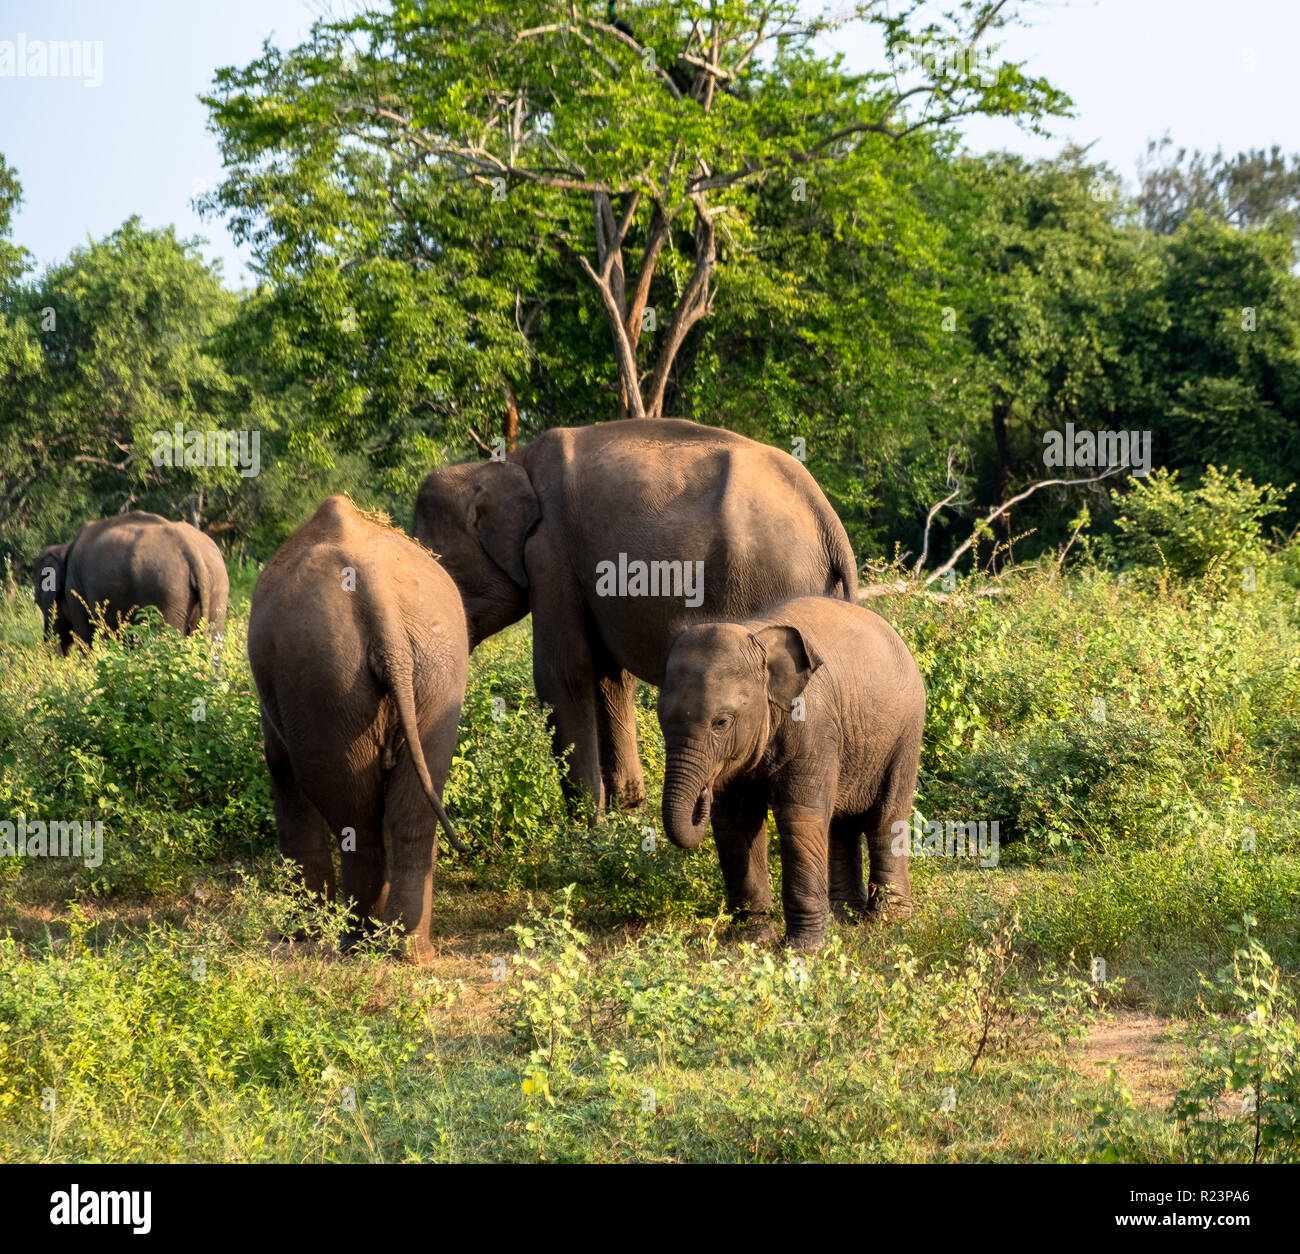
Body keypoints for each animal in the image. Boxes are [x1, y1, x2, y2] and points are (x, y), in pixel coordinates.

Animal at [33, 512, 229, 653]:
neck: (65, 549)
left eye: (38, 602)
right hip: (217, 590)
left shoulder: (75, 587)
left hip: (168, 594)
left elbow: (87, 639)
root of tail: (191, 549)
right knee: (213, 643)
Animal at [247, 495, 469, 962]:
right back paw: (406, 951)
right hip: (436, 668)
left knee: (353, 814)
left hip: (325, 676)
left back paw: (356, 942)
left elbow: (280, 768)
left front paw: (301, 933)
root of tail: (379, 600)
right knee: (411, 808)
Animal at [413, 418, 858, 811]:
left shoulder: (550, 551)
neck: (509, 462)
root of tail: (828, 520)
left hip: (770, 581)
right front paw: (625, 813)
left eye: (438, 565)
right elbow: (610, 678)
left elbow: (562, 674)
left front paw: (586, 830)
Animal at [658, 594, 926, 951]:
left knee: (885, 816)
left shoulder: (813, 723)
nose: (705, 791)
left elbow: (799, 816)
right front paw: (752, 938)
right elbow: (736, 822)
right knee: (840, 823)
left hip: (906, 731)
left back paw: (888, 919)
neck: (757, 638)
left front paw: (803, 949)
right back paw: (845, 917)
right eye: (660, 719)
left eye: (721, 722)